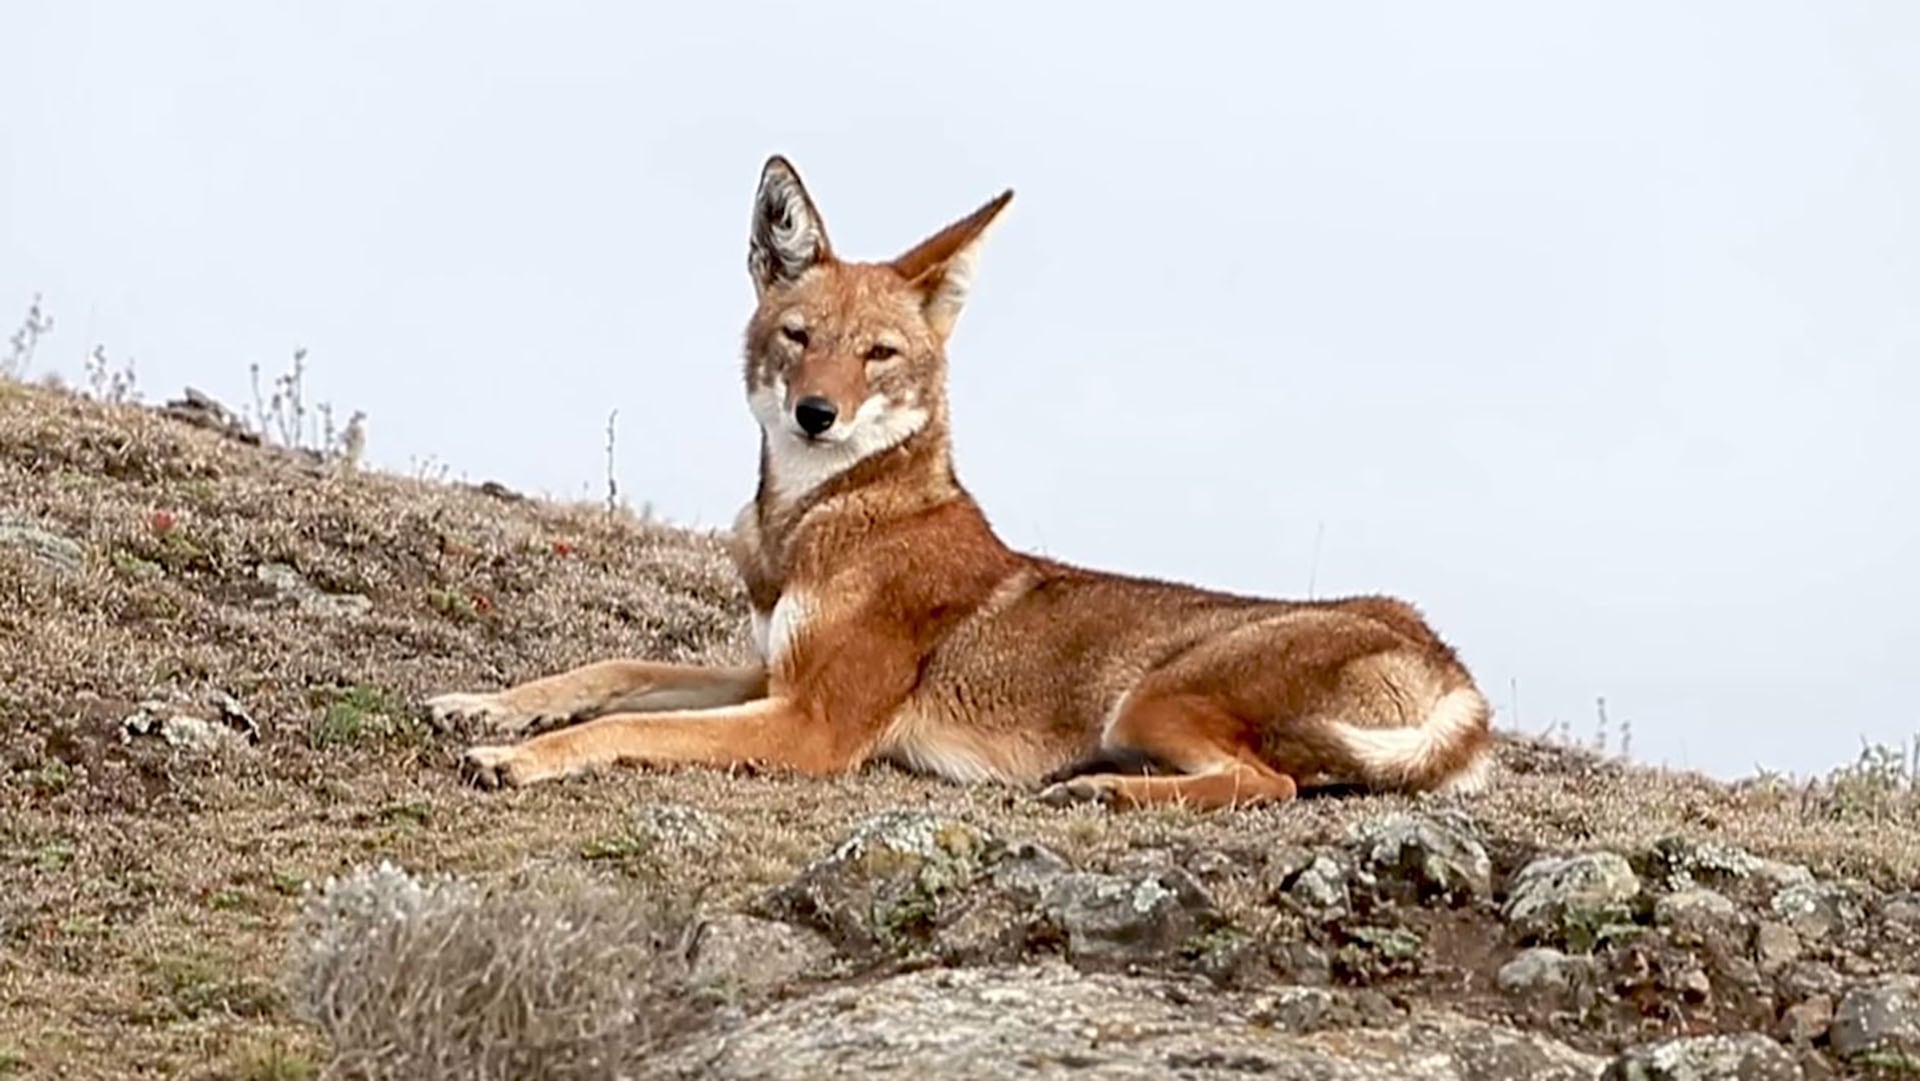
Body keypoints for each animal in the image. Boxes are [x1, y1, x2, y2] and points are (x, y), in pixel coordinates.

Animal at [432, 155, 1493, 808]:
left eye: (880, 353)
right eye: (799, 338)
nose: (816, 414)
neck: (815, 524)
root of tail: (1445, 657)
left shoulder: (813, 724)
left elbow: (625, 724)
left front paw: (515, 756)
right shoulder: (766, 673)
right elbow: (614, 672)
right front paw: (489, 705)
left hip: (1150, 698)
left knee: (1267, 784)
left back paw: (1106, 790)